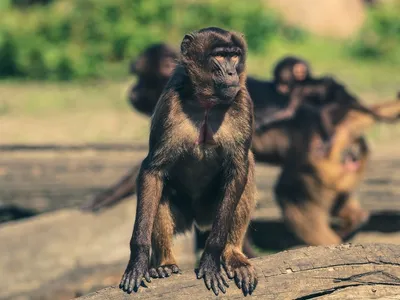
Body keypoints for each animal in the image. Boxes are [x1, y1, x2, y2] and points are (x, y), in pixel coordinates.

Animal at [118, 27, 256, 296]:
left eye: (234, 55)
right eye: (220, 55)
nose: (232, 72)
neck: (206, 102)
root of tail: (197, 220)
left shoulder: (243, 102)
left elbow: (238, 169)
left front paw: (211, 258)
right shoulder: (169, 104)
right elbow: (152, 171)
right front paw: (138, 261)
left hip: (210, 211)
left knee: (248, 167)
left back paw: (233, 254)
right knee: (159, 189)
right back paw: (165, 263)